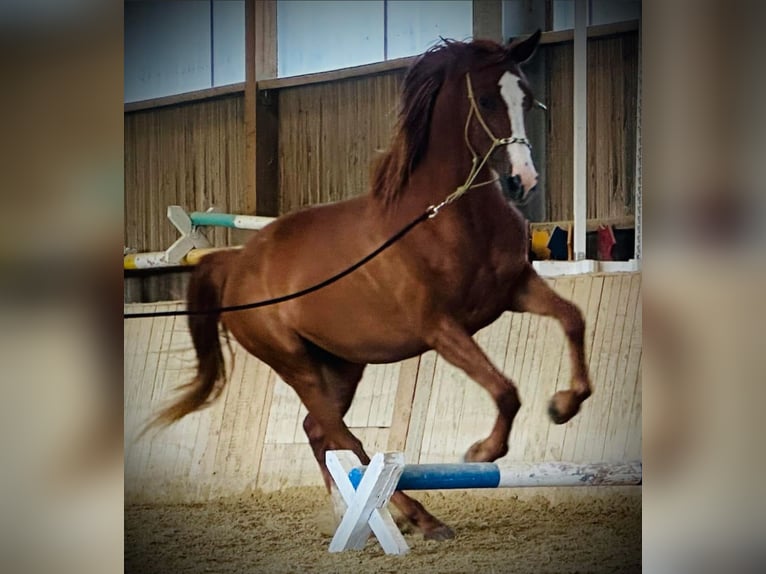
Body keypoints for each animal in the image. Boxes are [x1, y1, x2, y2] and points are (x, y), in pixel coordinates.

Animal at [152, 33, 592, 544]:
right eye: (485, 100)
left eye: (526, 96)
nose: (524, 181)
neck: (444, 217)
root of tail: (238, 261)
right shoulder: (441, 329)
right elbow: (506, 391)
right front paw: (482, 452)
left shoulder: (516, 291)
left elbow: (573, 319)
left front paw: (564, 405)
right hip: (294, 363)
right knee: (341, 433)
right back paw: (419, 517)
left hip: (342, 363)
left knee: (319, 431)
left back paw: (353, 509)